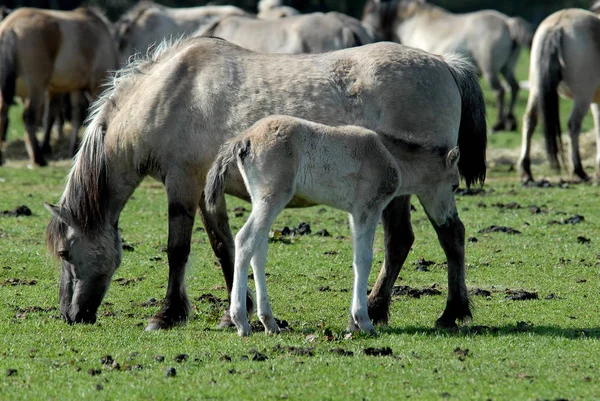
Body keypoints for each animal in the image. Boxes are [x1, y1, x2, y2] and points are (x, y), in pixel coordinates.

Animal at [0, 7, 118, 167]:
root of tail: (10, 26)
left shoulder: (63, 89)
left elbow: (57, 116)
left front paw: (51, 146)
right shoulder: (96, 86)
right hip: (36, 86)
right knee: (28, 117)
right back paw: (38, 158)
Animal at [204, 115, 462, 334]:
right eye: (455, 185)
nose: (448, 219)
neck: (390, 157)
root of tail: (244, 137)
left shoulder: (355, 214)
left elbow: (358, 259)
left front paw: (355, 322)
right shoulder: (368, 209)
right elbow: (364, 259)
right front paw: (364, 321)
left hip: (261, 199)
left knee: (258, 249)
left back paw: (270, 323)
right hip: (273, 197)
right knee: (245, 240)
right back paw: (241, 321)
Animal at [358, 0, 532, 131]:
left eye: (369, 10)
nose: (364, 29)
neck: (411, 22)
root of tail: (508, 23)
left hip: (491, 70)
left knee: (500, 90)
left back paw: (498, 124)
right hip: (507, 68)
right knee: (514, 87)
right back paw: (510, 122)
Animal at [516, 9, 600, 181]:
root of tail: (558, 23)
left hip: (536, 89)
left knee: (529, 119)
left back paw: (526, 170)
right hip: (582, 95)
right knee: (573, 124)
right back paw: (578, 170)